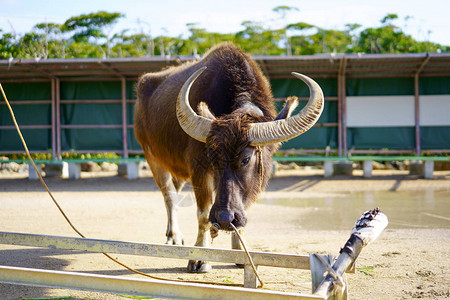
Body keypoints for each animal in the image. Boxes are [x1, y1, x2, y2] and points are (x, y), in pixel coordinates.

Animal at [134, 43, 324, 274]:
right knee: (168, 196)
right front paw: (200, 258)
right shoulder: (199, 170)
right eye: (213, 157)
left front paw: (240, 252)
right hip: (151, 157)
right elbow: (203, 214)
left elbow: (242, 208)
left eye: (246, 159)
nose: (224, 219)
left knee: (175, 194)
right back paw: (174, 237)